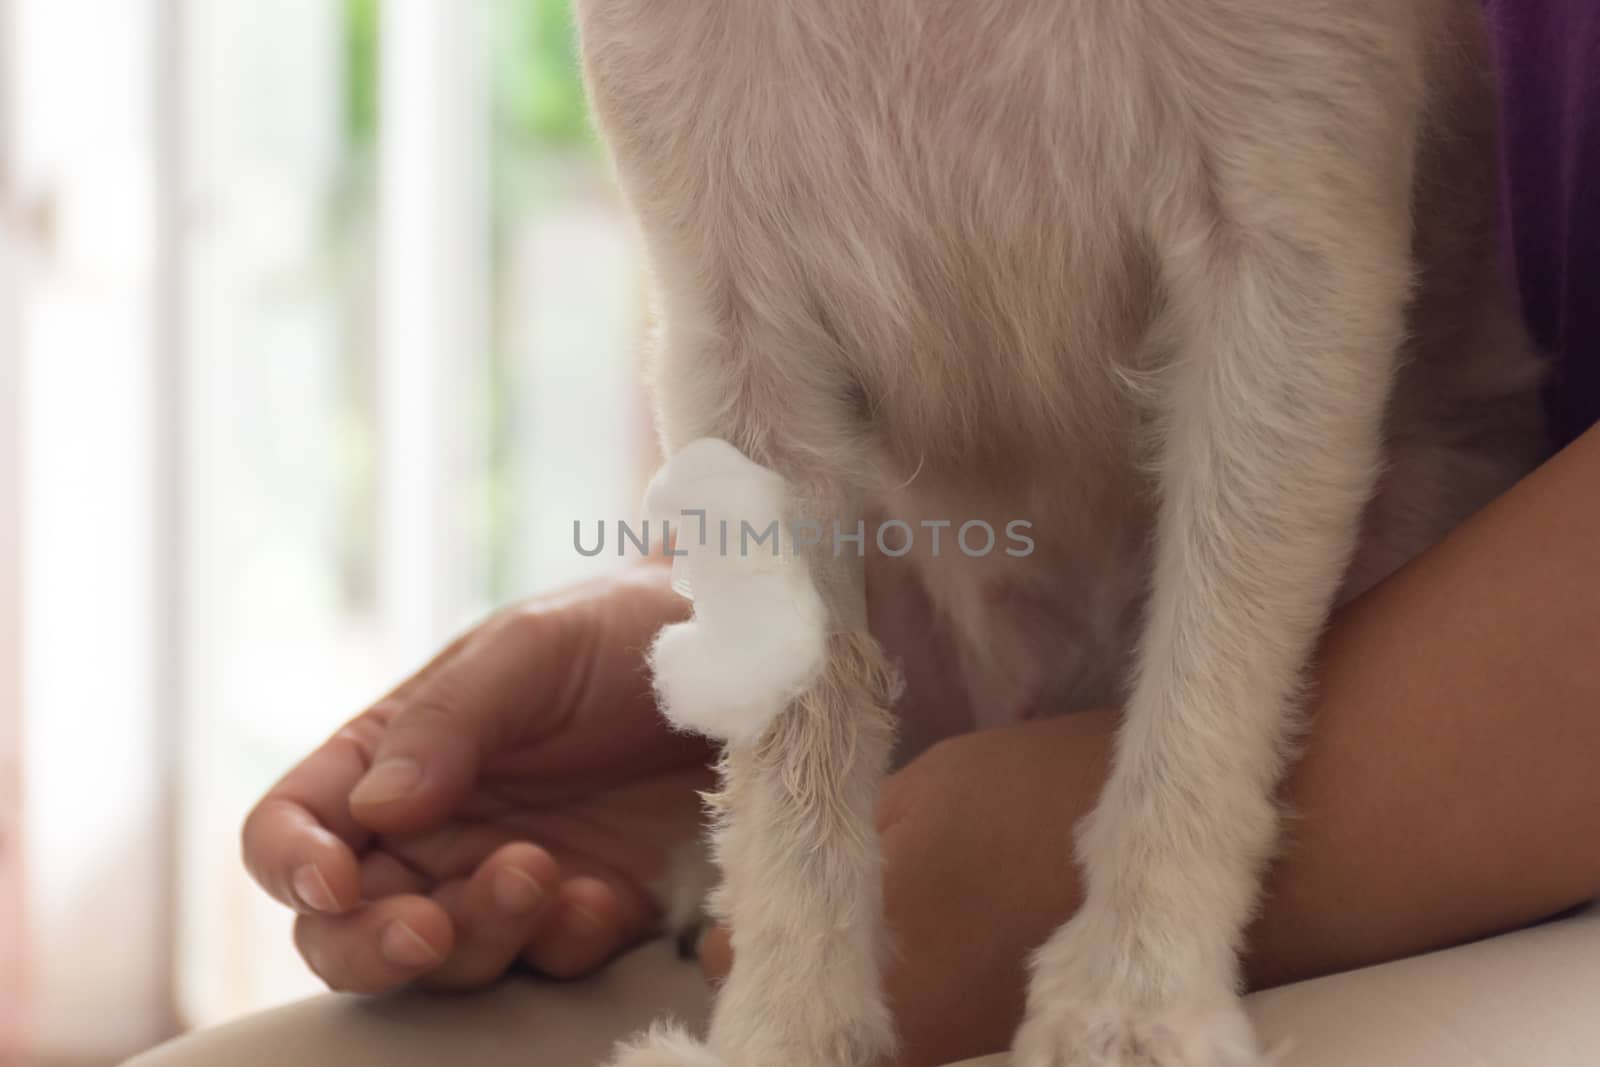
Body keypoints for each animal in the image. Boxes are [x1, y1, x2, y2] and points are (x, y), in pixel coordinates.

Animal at [569, 4, 1542, 1062]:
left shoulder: (1292, 243)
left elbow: (1206, 677)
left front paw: (1138, 989)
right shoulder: (735, 333)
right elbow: (795, 732)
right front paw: (787, 1025)